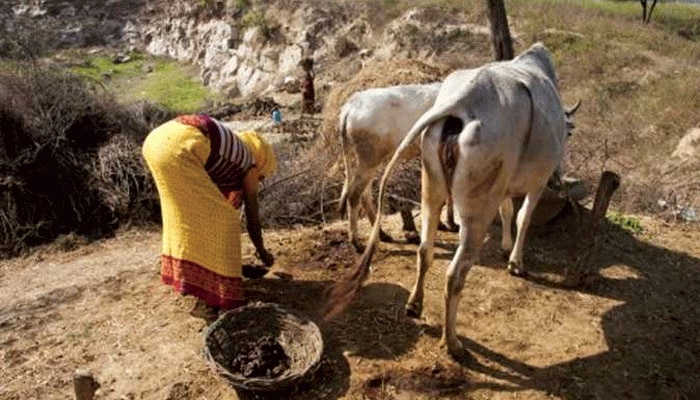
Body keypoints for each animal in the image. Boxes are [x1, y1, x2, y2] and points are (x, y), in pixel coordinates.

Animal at [334, 82, 456, 250]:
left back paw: (383, 234)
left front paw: (449, 224)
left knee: (364, 195)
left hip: (369, 162)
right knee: (354, 195)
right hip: (369, 160)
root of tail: (351, 105)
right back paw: (357, 243)